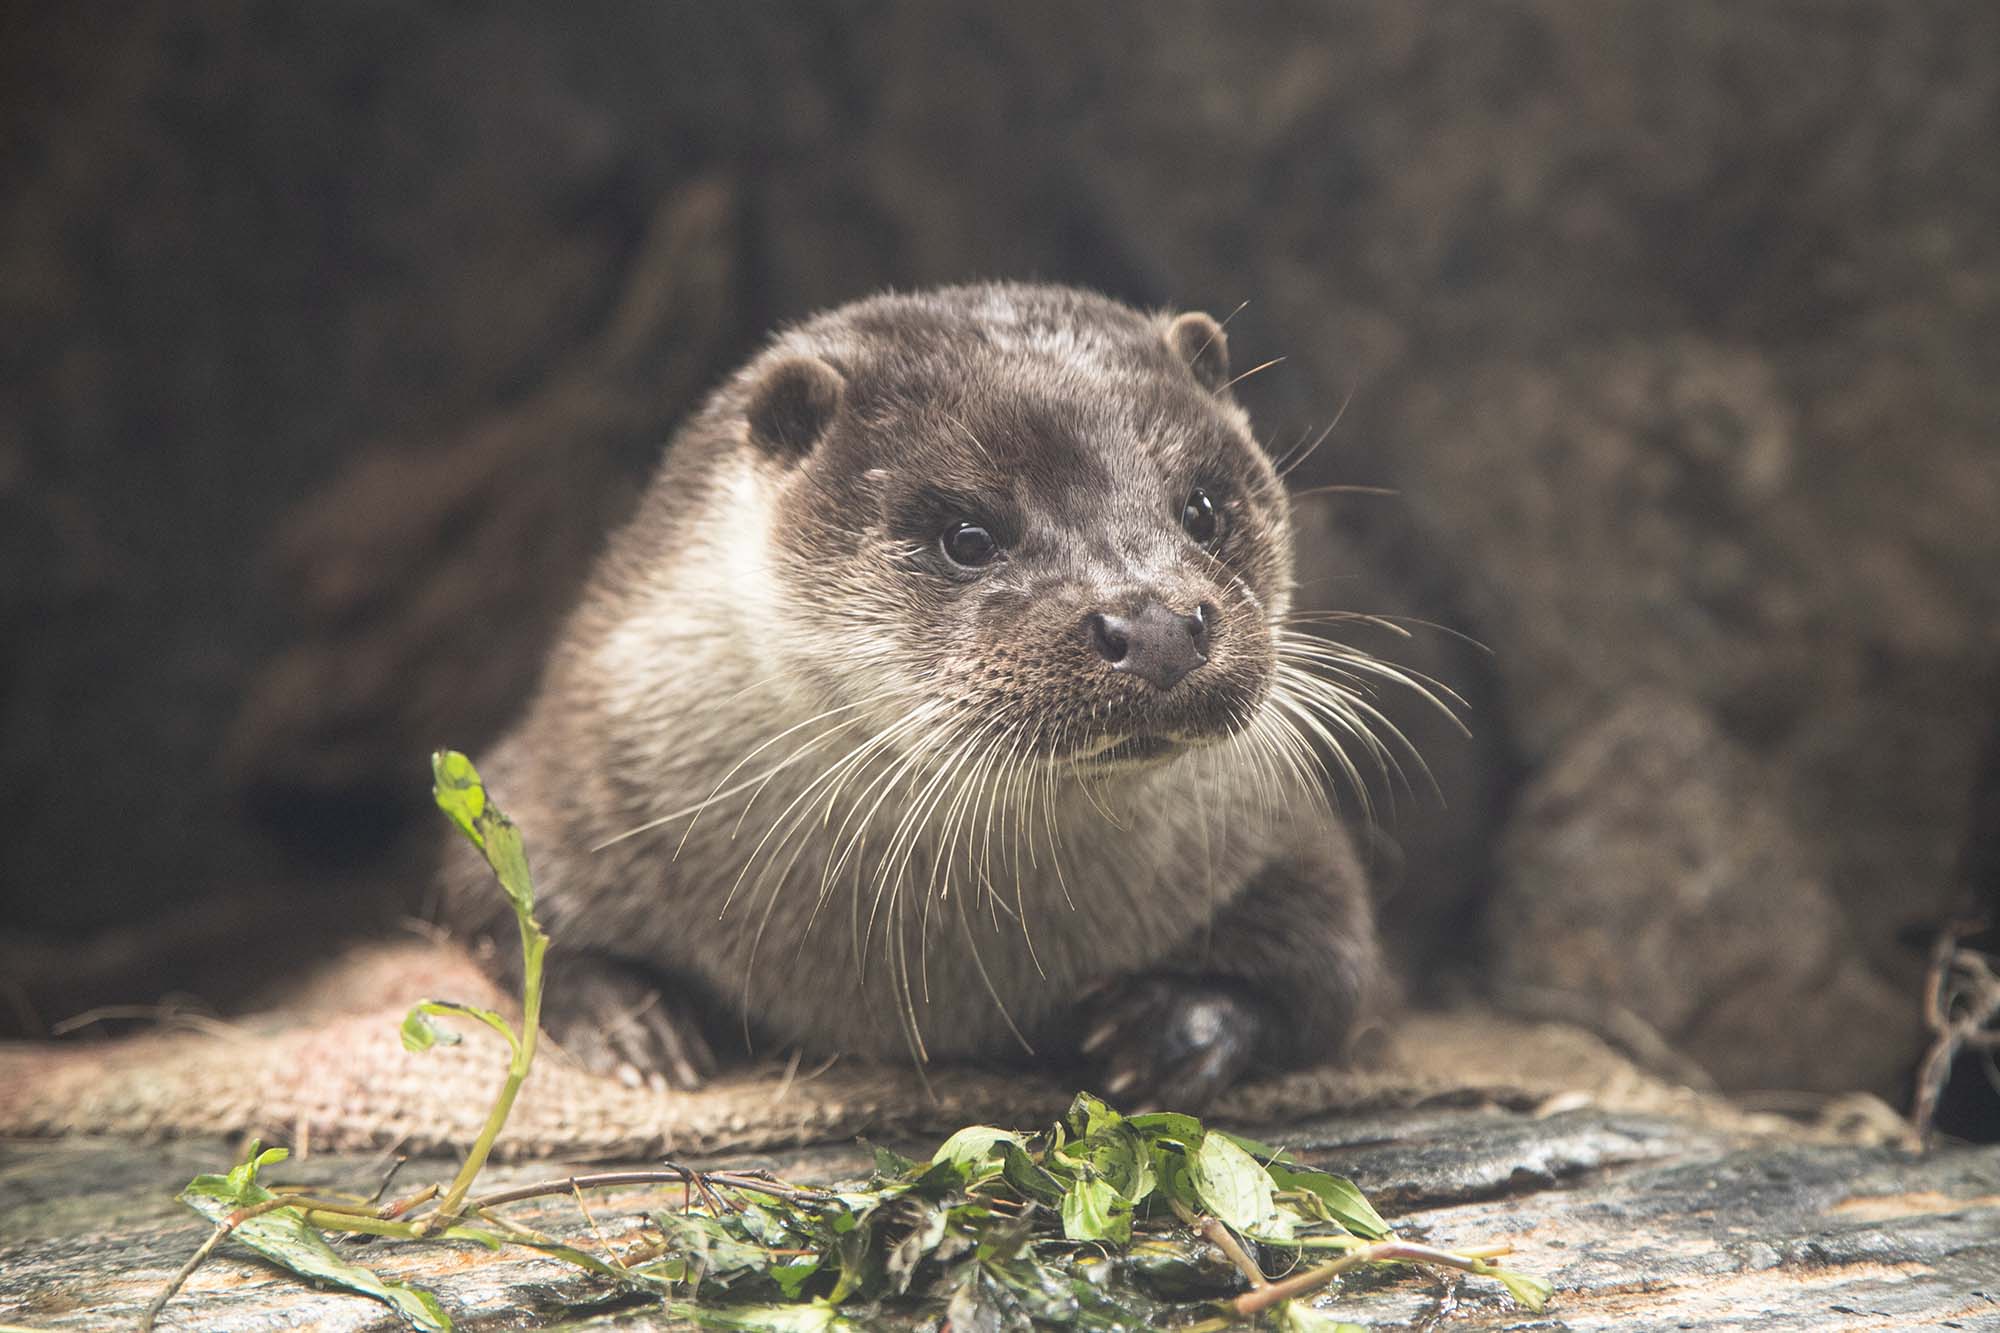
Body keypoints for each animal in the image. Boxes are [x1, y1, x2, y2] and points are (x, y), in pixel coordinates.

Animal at [442, 286, 1408, 1104]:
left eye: (1203, 508)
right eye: (968, 536)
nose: (1158, 623)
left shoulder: (1279, 827)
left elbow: (1342, 975)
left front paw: (1173, 1028)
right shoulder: (571, 771)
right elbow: (491, 903)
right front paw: (630, 1024)